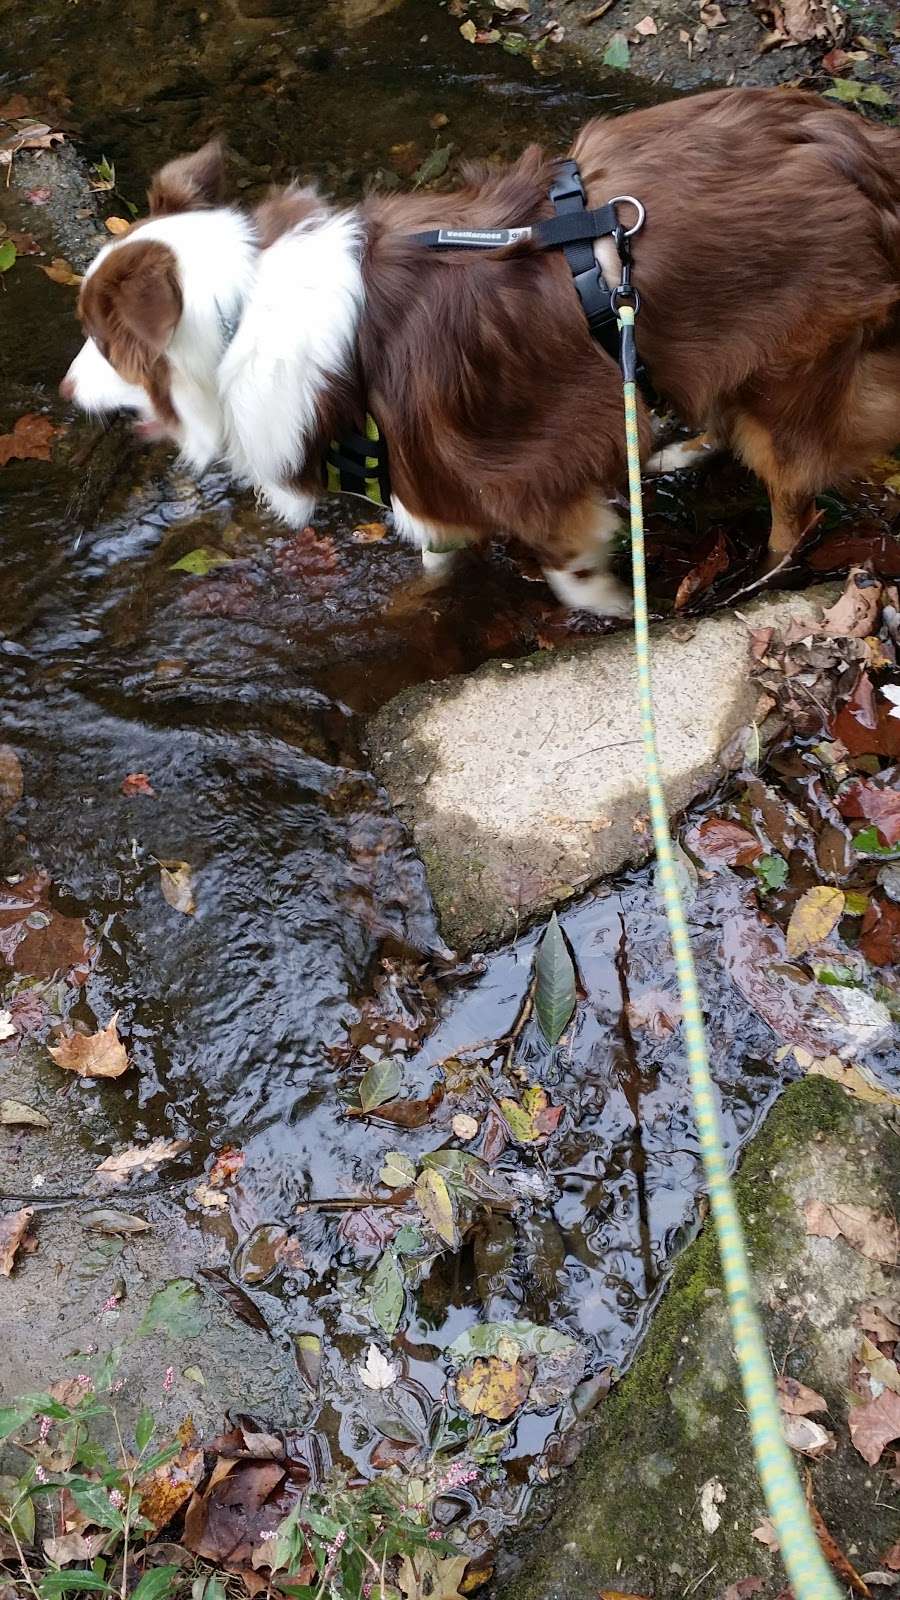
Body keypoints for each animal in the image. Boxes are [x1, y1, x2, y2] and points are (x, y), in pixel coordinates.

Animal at [61, 89, 896, 617]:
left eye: (101, 342)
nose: (64, 392)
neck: (246, 308)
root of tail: (853, 141)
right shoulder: (425, 470)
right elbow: (436, 556)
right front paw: (414, 606)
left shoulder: (528, 467)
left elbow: (569, 569)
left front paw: (618, 611)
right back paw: (672, 450)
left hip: (787, 370)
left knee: (795, 499)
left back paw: (760, 577)